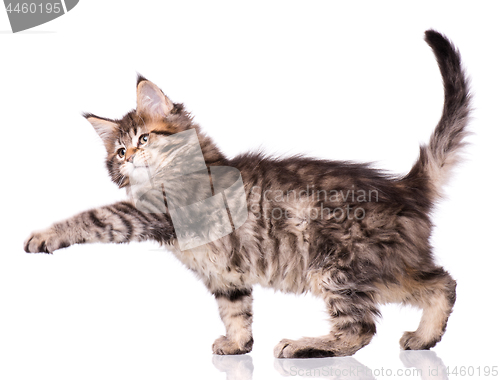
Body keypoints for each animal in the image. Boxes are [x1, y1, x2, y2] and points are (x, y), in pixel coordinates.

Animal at [23, 30, 468, 360]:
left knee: (361, 327)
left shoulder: (153, 212)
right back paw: (425, 337)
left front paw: (43, 236)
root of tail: (402, 187)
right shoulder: (225, 275)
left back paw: (305, 346)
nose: (130, 158)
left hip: (335, 267)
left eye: (144, 139)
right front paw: (238, 345)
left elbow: (95, 217)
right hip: (387, 269)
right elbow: (235, 310)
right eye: (119, 152)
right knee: (442, 282)